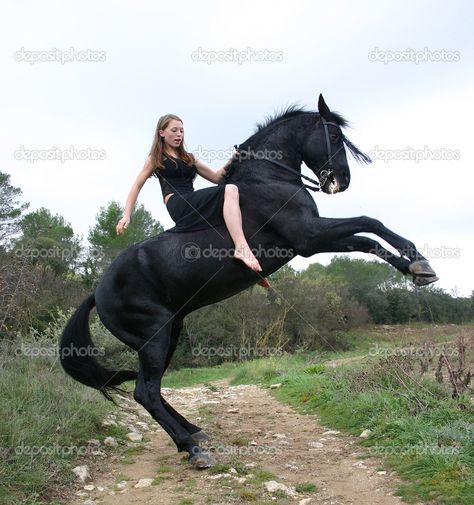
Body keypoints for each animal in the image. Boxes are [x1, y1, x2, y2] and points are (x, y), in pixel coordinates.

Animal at [59, 93, 436, 464]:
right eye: (334, 135)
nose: (341, 181)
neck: (268, 178)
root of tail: (97, 292)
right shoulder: (309, 237)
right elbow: (369, 224)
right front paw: (418, 263)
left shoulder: (312, 238)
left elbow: (367, 237)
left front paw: (417, 267)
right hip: (155, 337)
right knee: (145, 392)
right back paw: (193, 449)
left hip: (169, 333)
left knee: (152, 389)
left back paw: (194, 432)